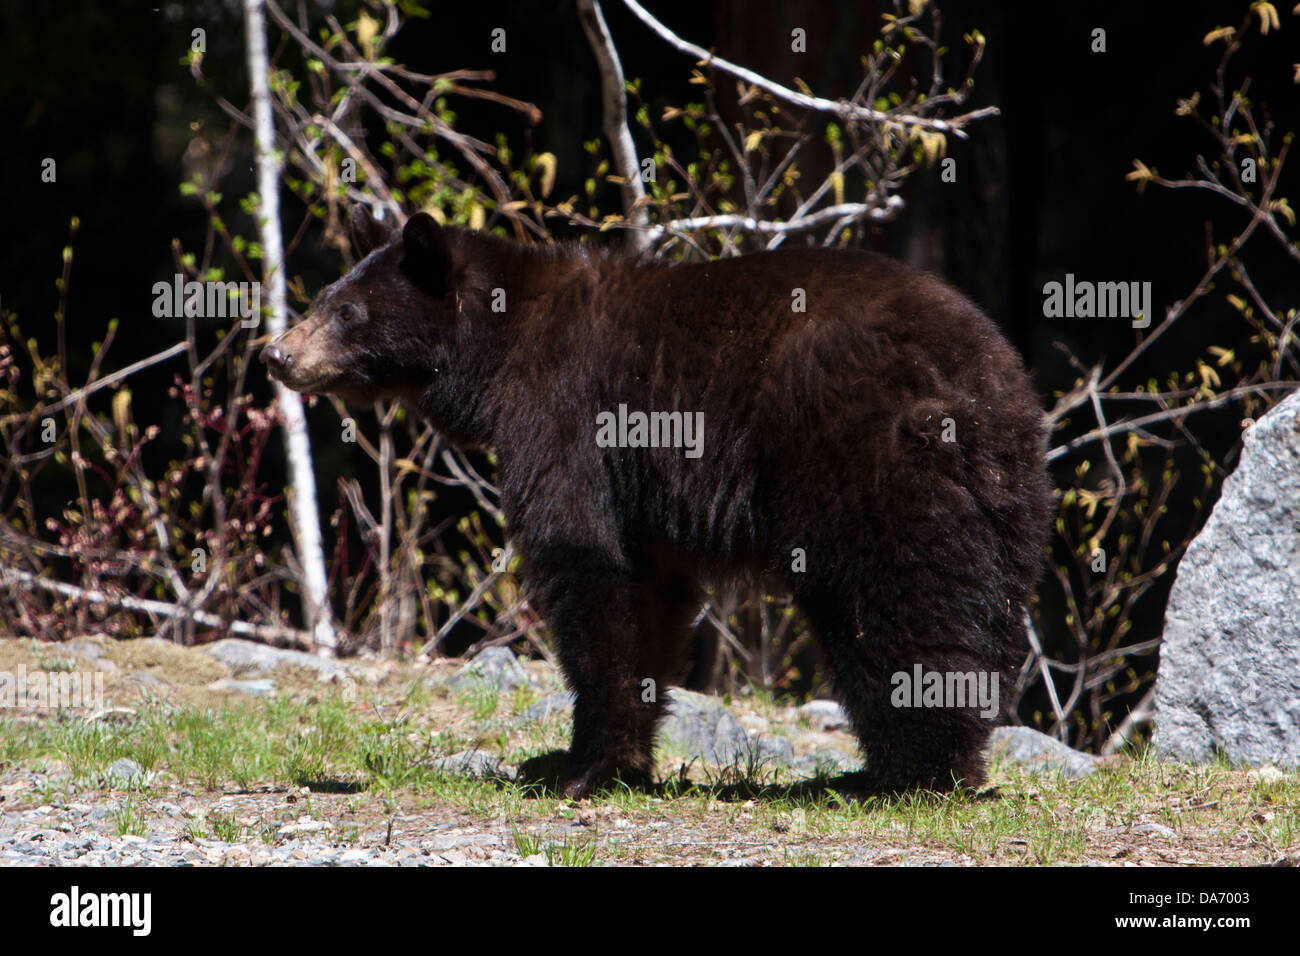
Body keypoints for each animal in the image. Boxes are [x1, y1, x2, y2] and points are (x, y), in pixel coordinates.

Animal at [263, 208, 1055, 801]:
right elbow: (651, 595)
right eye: (324, 298)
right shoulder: (646, 501)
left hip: (859, 454)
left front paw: (581, 768)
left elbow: (584, 561)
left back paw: (907, 772)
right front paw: (612, 761)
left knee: (893, 596)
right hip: (1009, 496)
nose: (276, 354)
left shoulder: (567, 416)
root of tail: (978, 377)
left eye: (346, 311)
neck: (499, 346)